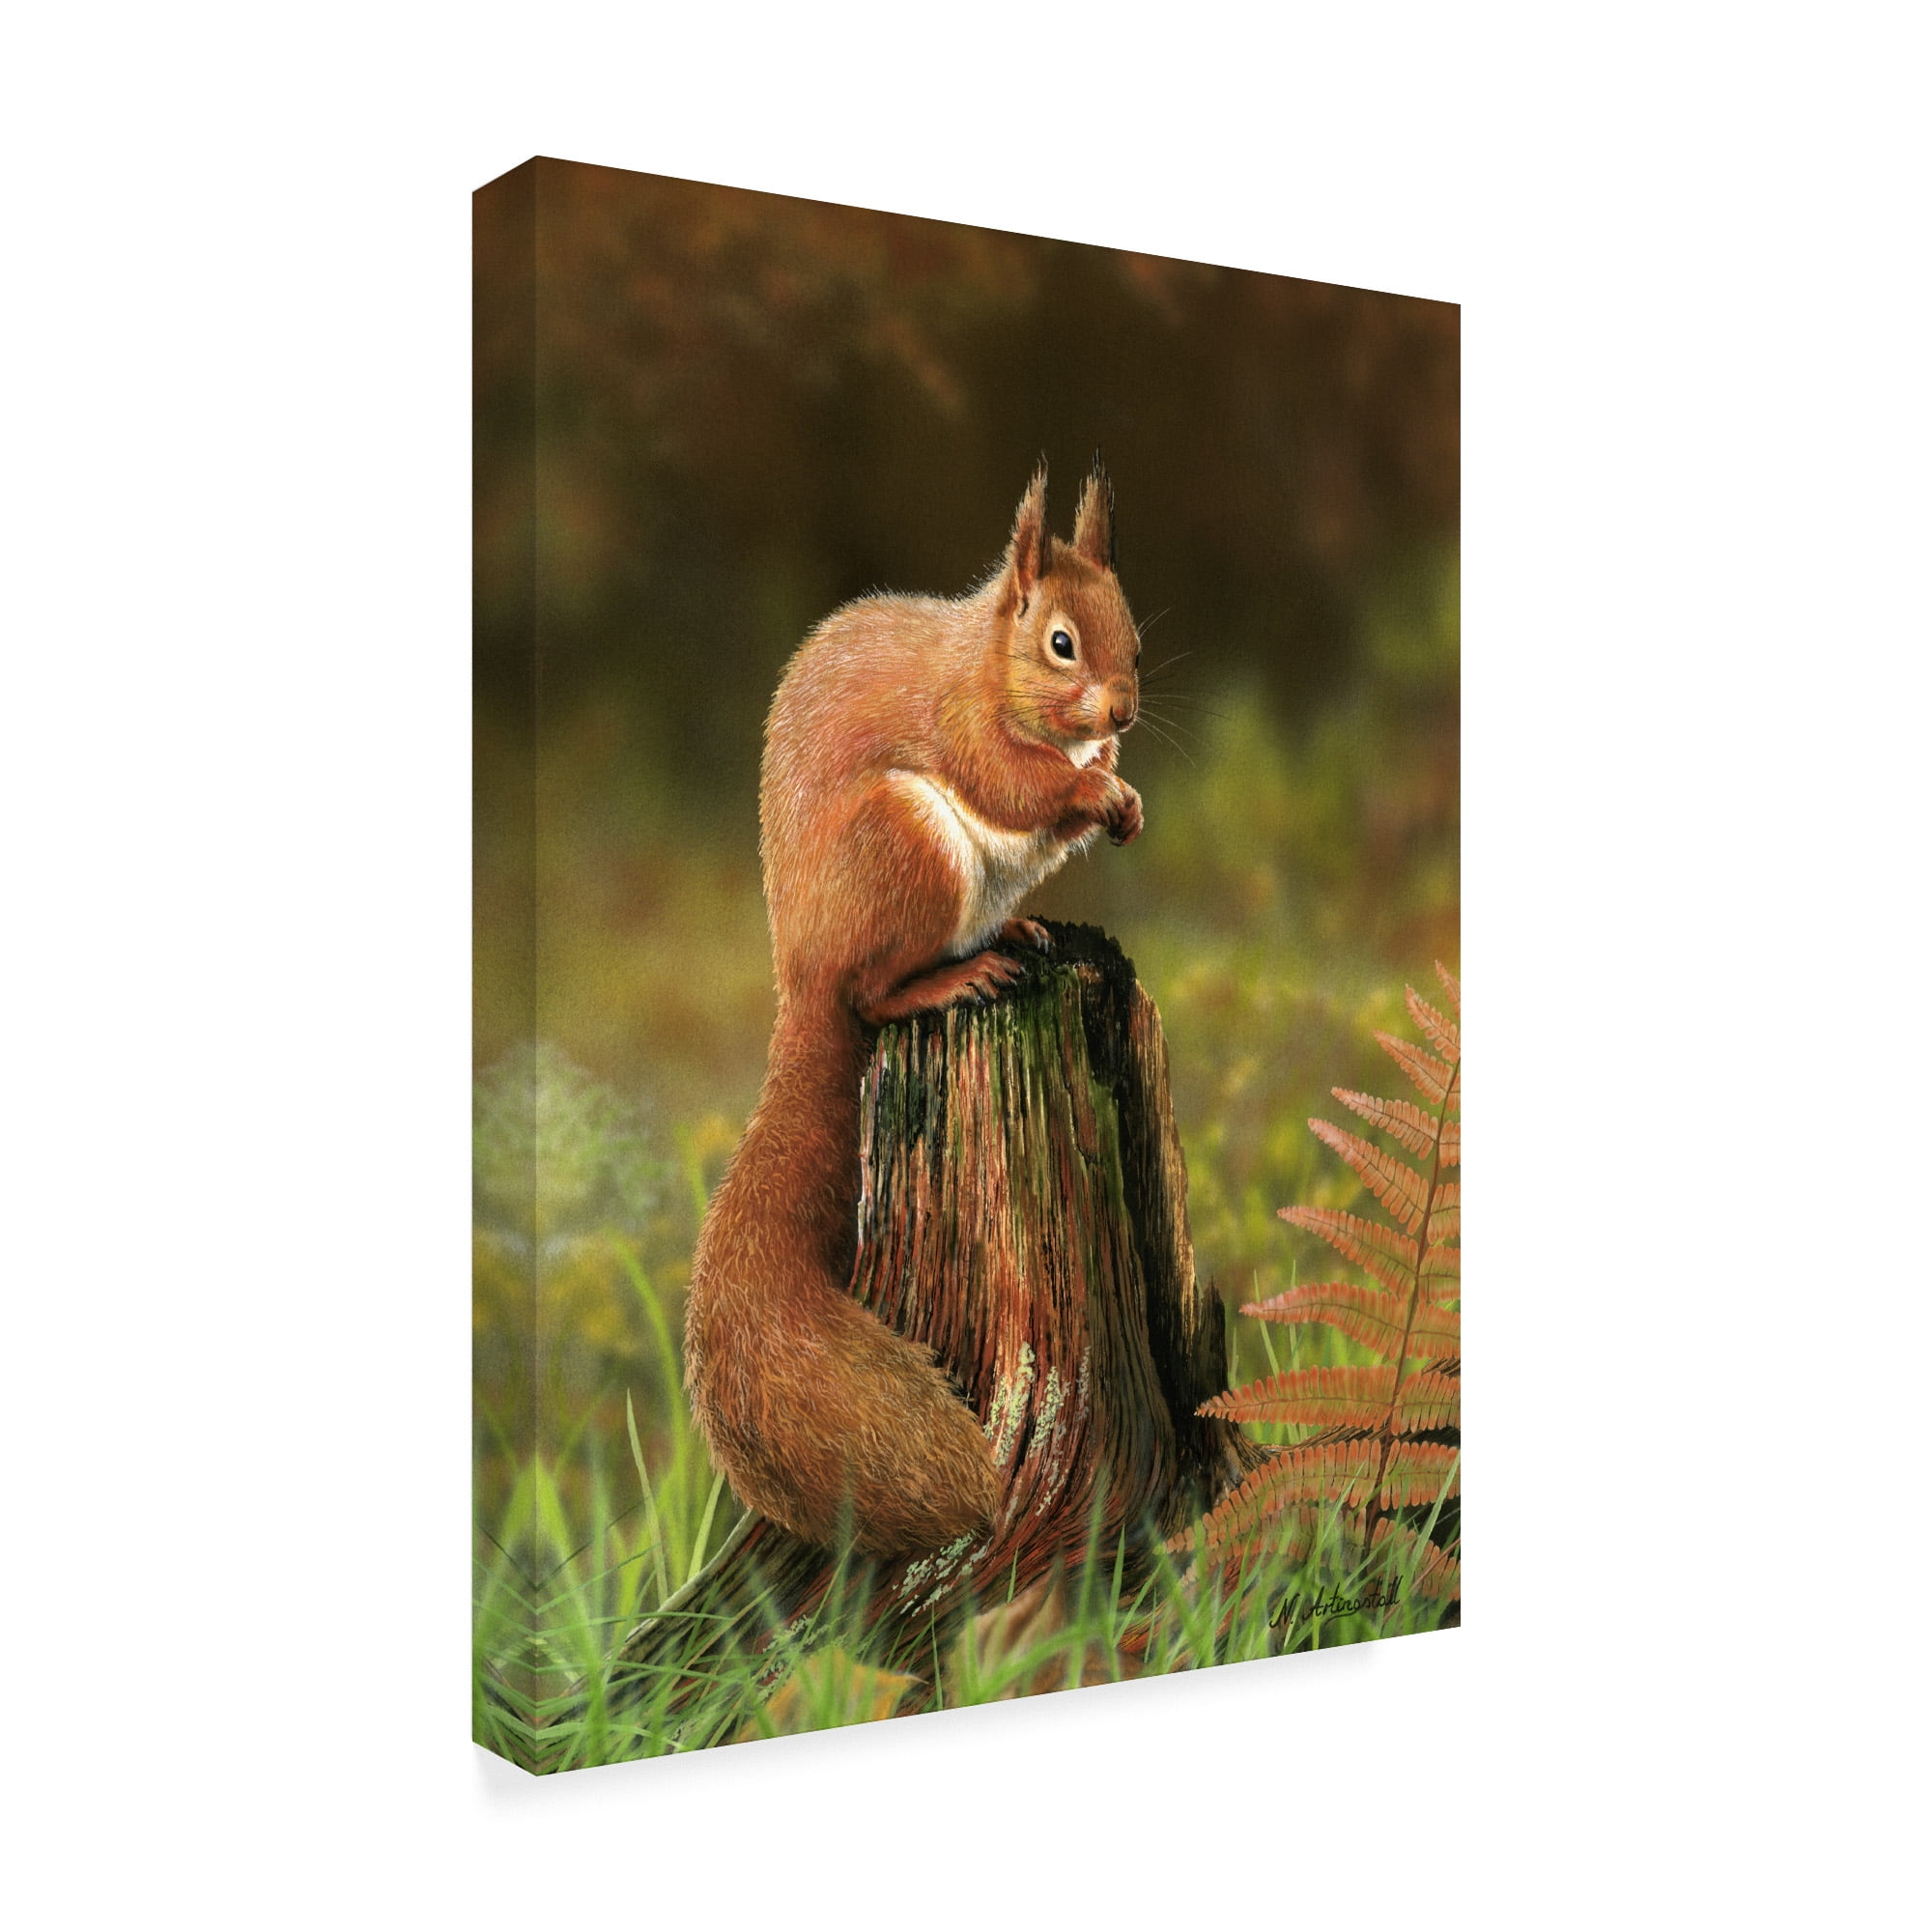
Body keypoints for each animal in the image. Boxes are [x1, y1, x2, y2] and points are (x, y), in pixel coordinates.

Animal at [683, 462, 1145, 1557]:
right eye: (1061, 642)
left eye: (1134, 633)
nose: (1125, 711)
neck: (990, 665)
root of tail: (799, 981)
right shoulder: (962, 725)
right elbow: (1011, 785)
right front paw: (1093, 790)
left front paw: (1121, 791)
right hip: (904, 848)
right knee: (871, 989)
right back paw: (945, 979)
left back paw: (1016, 935)